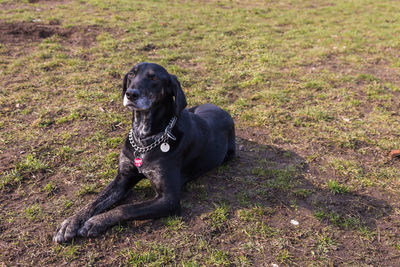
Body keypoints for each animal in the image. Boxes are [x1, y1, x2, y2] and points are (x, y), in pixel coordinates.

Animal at [53, 61, 234, 244]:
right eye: (131, 75)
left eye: (153, 78)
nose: (131, 94)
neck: (144, 139)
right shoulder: (123, 178)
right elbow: (95, 201)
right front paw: (71, 222)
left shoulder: (168, 199)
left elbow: (126, 208)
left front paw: (96, 221)